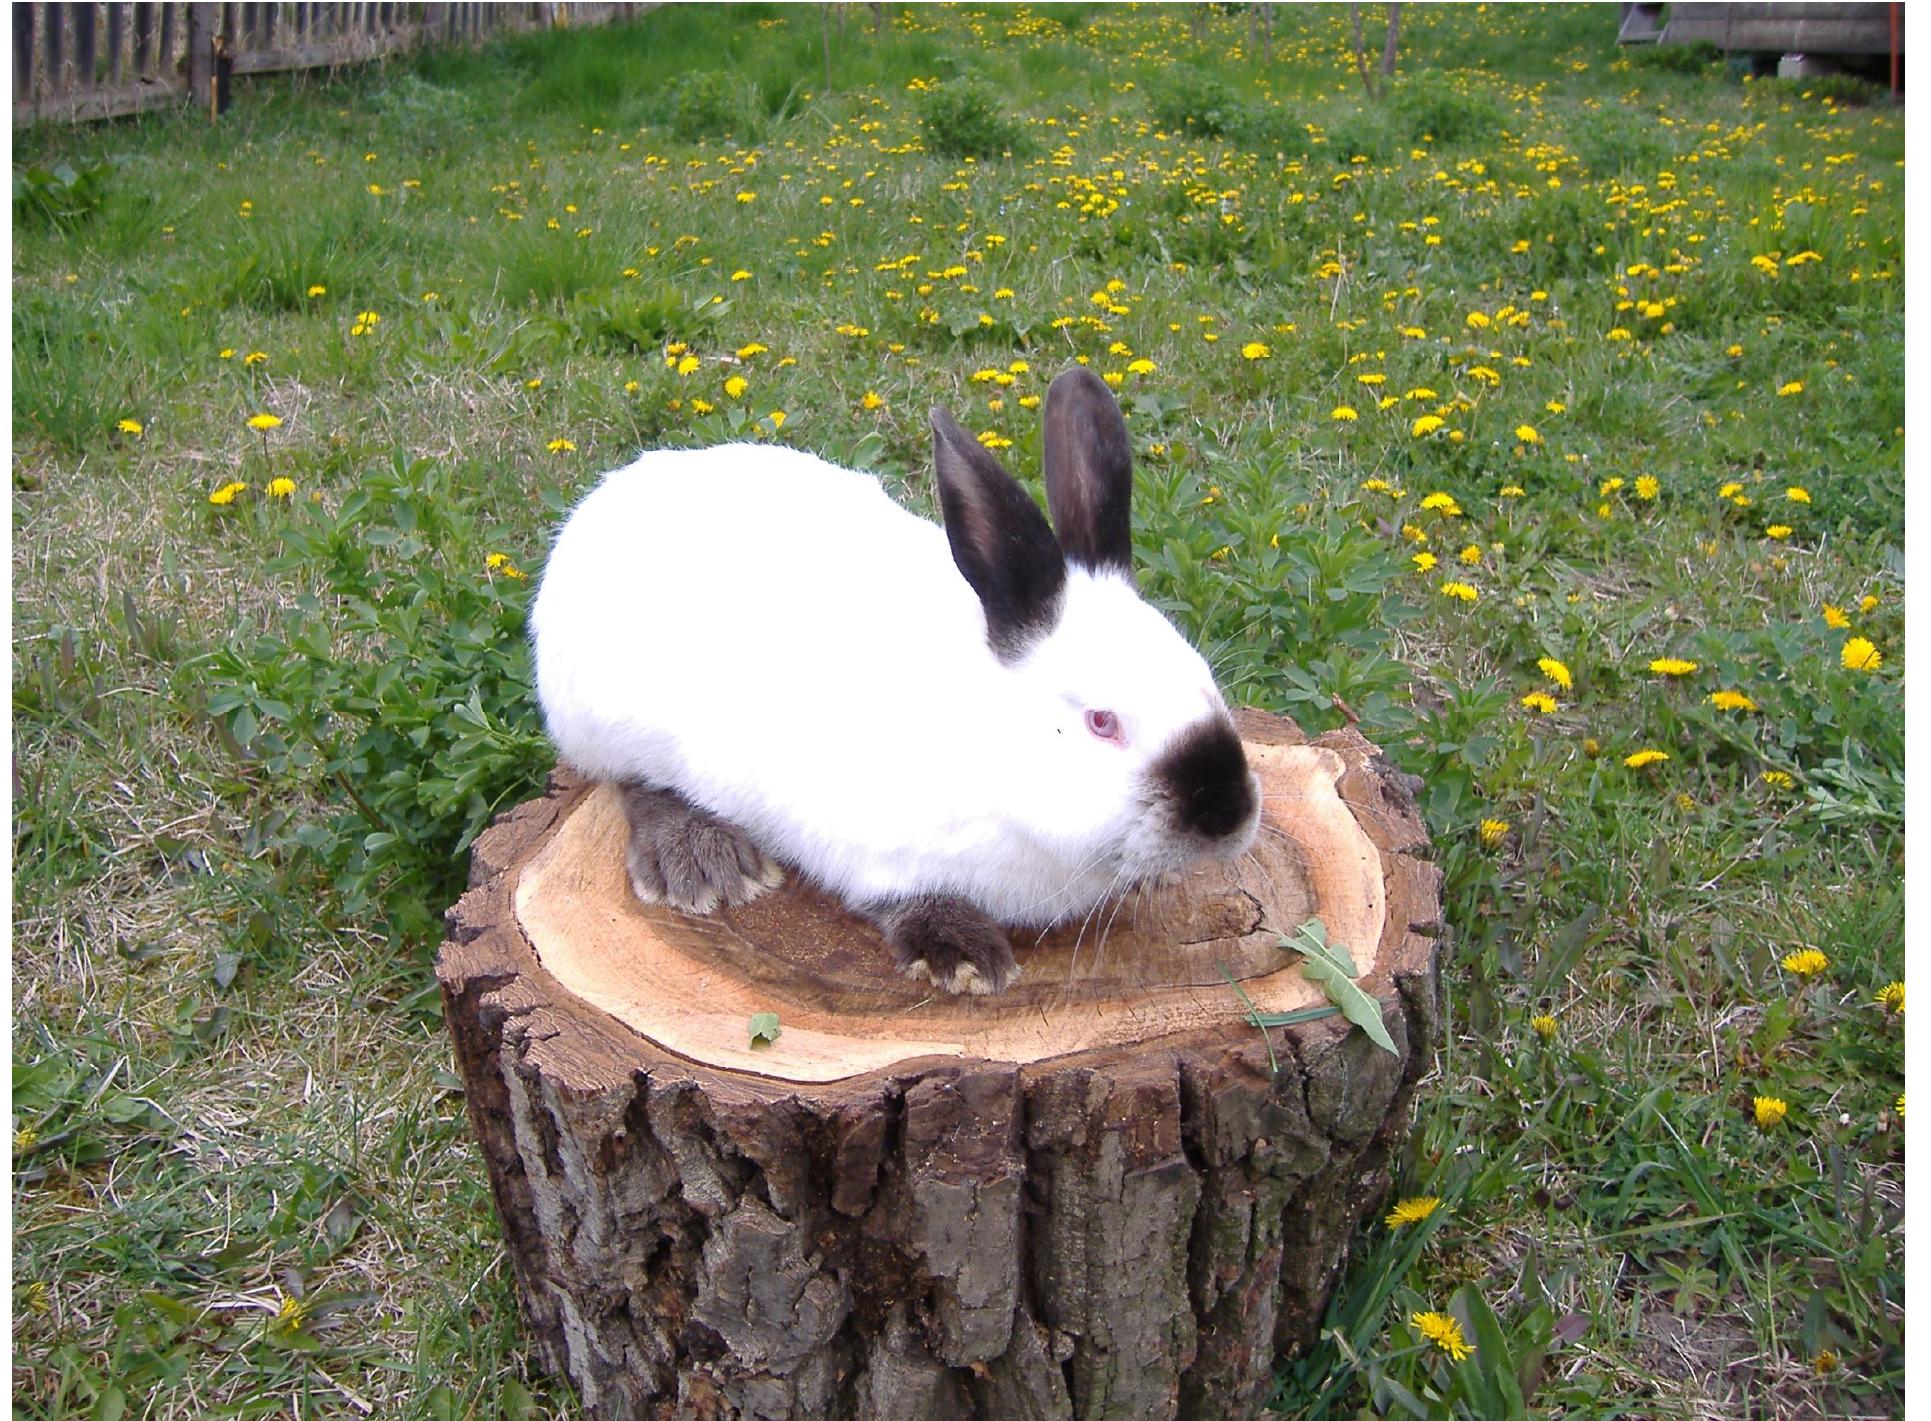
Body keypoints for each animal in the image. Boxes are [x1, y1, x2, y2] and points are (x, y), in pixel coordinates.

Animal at [529, 365, 1260, 995]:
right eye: (1101, 722)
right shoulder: (866, 844)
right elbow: (900, 897)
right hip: (608, 719)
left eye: (1206, 679)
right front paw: (963, 956)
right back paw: (705, 863)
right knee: (630, 783)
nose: (1228, 813)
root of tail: (605, 500)